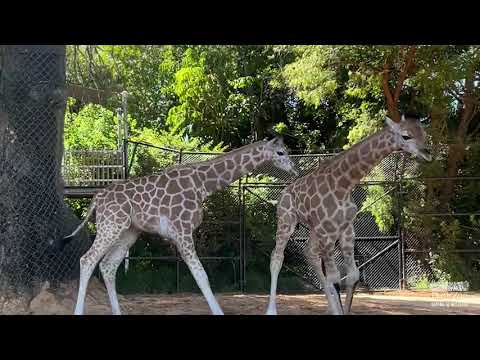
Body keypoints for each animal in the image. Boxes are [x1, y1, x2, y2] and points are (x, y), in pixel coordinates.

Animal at [62, 138, 296, 316]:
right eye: (280, 152)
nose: (293, 171)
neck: (203, 184)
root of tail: (96, 199)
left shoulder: (180, 233)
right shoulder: (182, 231)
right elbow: (201, 275)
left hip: (128, 231)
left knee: (108, 266)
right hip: (111, 225)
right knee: (88, 259)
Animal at [266, 114, 432, 316]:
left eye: (424, 133)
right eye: (406, 136)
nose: (427, 153)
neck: (344, 184)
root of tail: (283, 192)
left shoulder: (346, 230)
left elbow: (352, 276)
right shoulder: (327, 231)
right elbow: (335, 278)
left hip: (314, 230)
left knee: (310, 254)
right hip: (286, 221)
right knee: (277, 258)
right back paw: (271, 310)